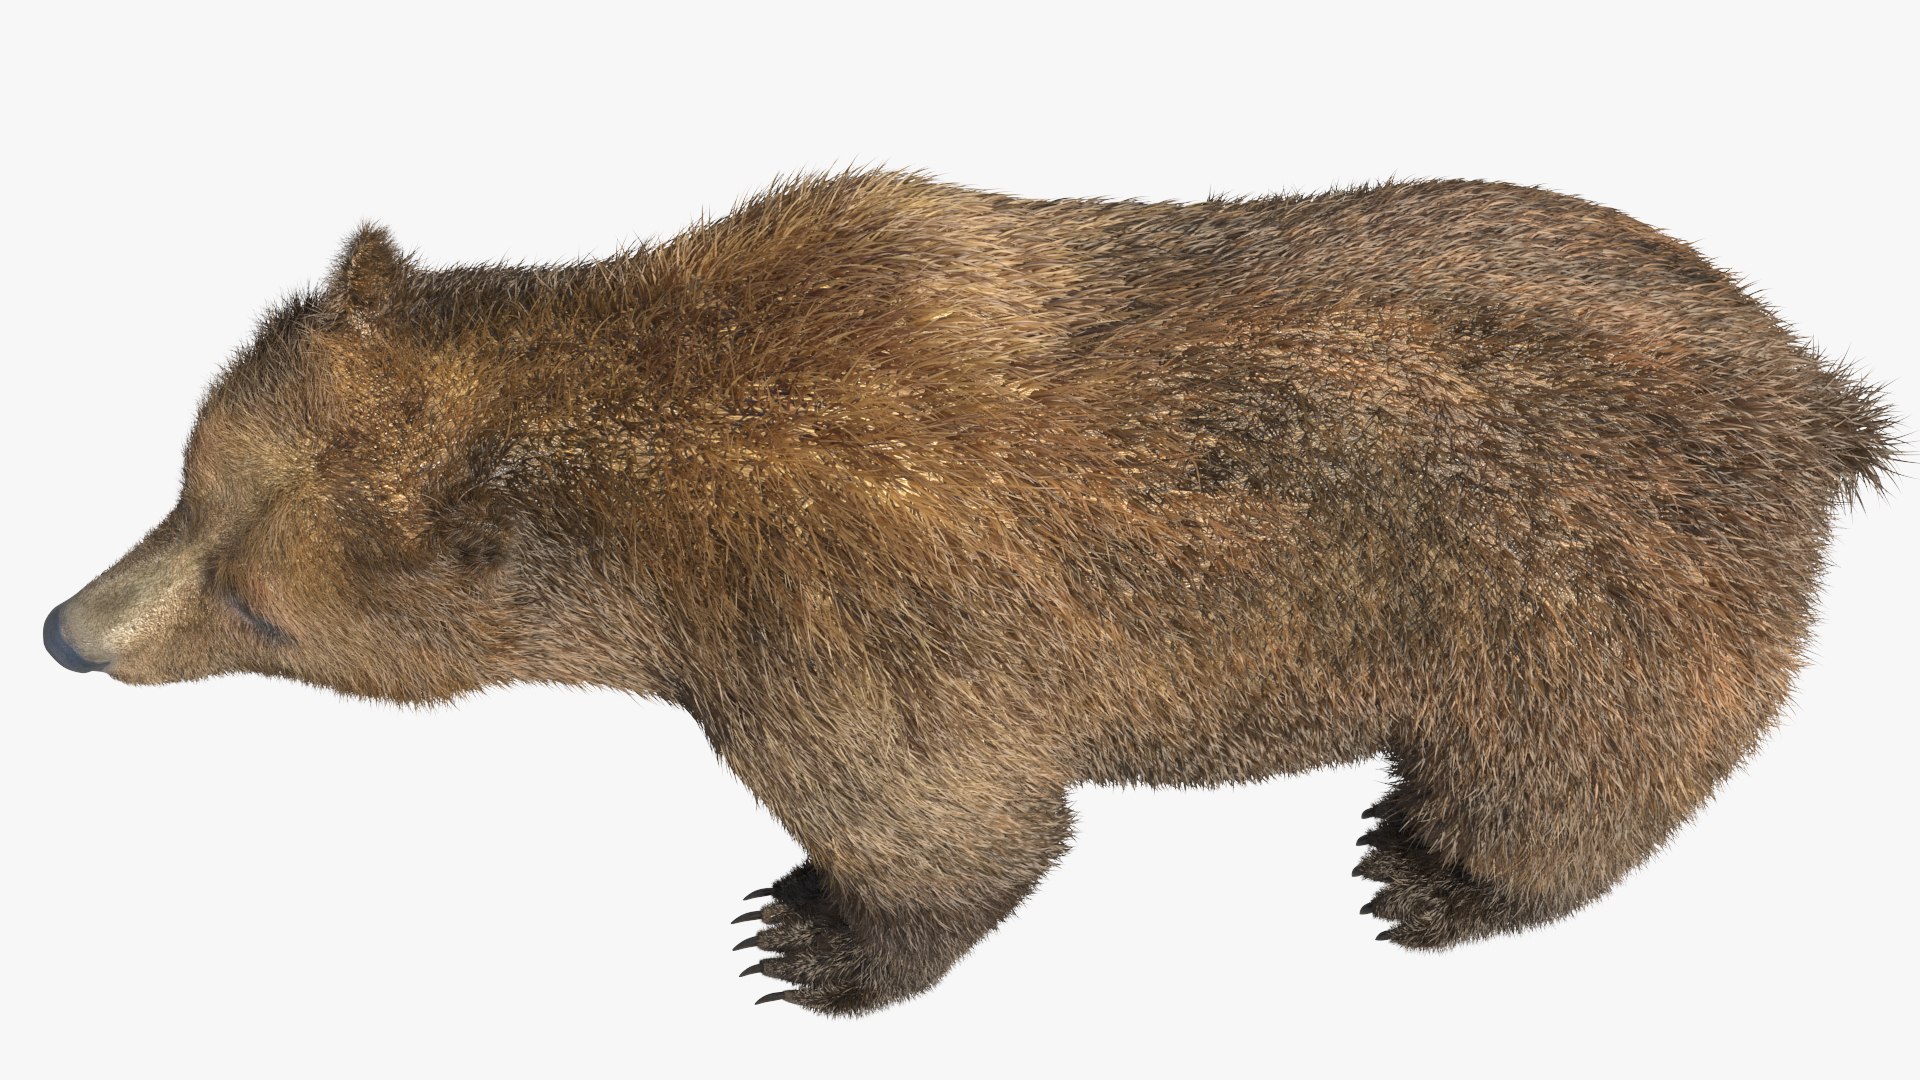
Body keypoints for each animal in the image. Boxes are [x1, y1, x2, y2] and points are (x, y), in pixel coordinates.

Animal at [44, 169, 1899, 1015]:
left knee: (1579, 765)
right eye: (188, 478)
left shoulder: (829, 620)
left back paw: (1430, 872)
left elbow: (955, 818)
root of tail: (1821, 398)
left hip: (1587, 591)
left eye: (258, 602)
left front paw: (804, 936)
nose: (69, 630)